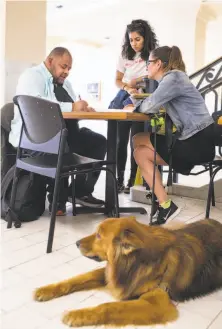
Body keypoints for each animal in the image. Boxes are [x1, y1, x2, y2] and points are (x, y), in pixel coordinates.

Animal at [33, 215, 222, 326]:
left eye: (99, 235)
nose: (76, 243)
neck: (135, 263)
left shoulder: (156, 303)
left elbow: (109, 307)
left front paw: (78, 314)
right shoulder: (112, 275)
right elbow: (77, 279)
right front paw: (47, 290)